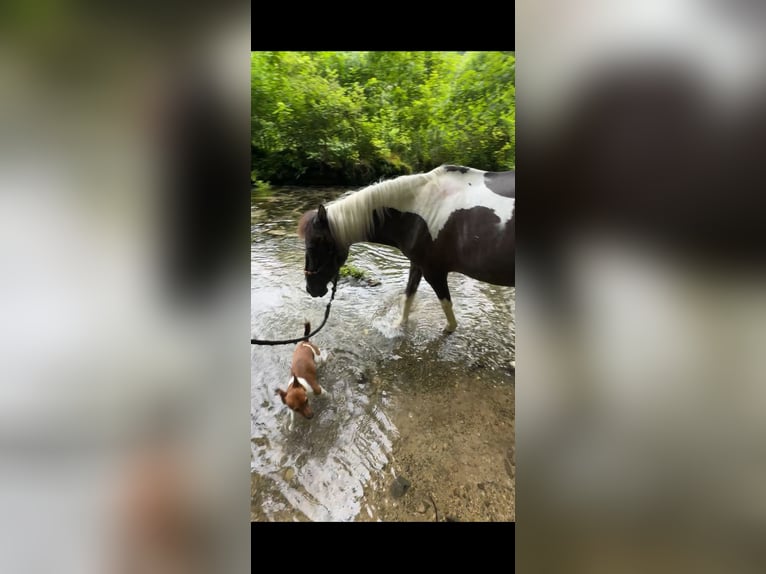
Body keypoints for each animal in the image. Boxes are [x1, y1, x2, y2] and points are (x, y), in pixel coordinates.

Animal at [297, 164, 515, 333]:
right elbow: (408, 296)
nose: (311, 289)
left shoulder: (434, 272)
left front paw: (449, 329)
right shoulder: (417, 265)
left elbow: (445, 304)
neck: (420, 209)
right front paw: (399, 326)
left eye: (314, 244)